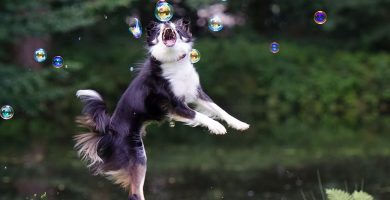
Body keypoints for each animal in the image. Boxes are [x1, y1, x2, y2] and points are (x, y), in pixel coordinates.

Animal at [74, 19, 248, 200]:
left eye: (176, 27)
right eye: (158, 30)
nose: (166, 23)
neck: (173, 60)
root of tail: (108, 131)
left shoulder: (196, 93)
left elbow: (218, 109)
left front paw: (239, 124)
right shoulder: (175, 105)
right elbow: (199, 115)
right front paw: (217, 127)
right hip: (137, 156)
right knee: (135, 192)